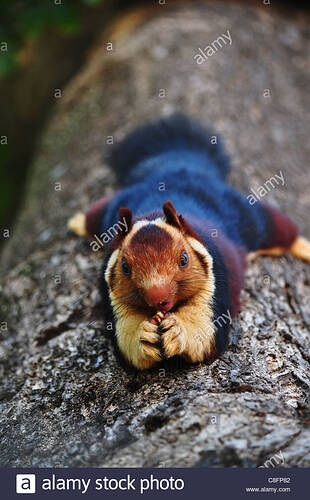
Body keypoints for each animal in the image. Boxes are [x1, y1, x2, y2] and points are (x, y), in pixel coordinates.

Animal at [69, 115, 310, 370]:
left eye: (184, 259)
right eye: (125, 267)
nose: (158, 298)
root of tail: (181, 163)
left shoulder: (215, 285)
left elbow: (206, 332)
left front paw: (178, 332)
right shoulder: (112, 297)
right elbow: (126, 338)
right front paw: (143, 337)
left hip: (250, 217)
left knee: (280, 228)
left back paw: (303, 247)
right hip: (114, 205)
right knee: (96, 212)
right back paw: (77, 221)